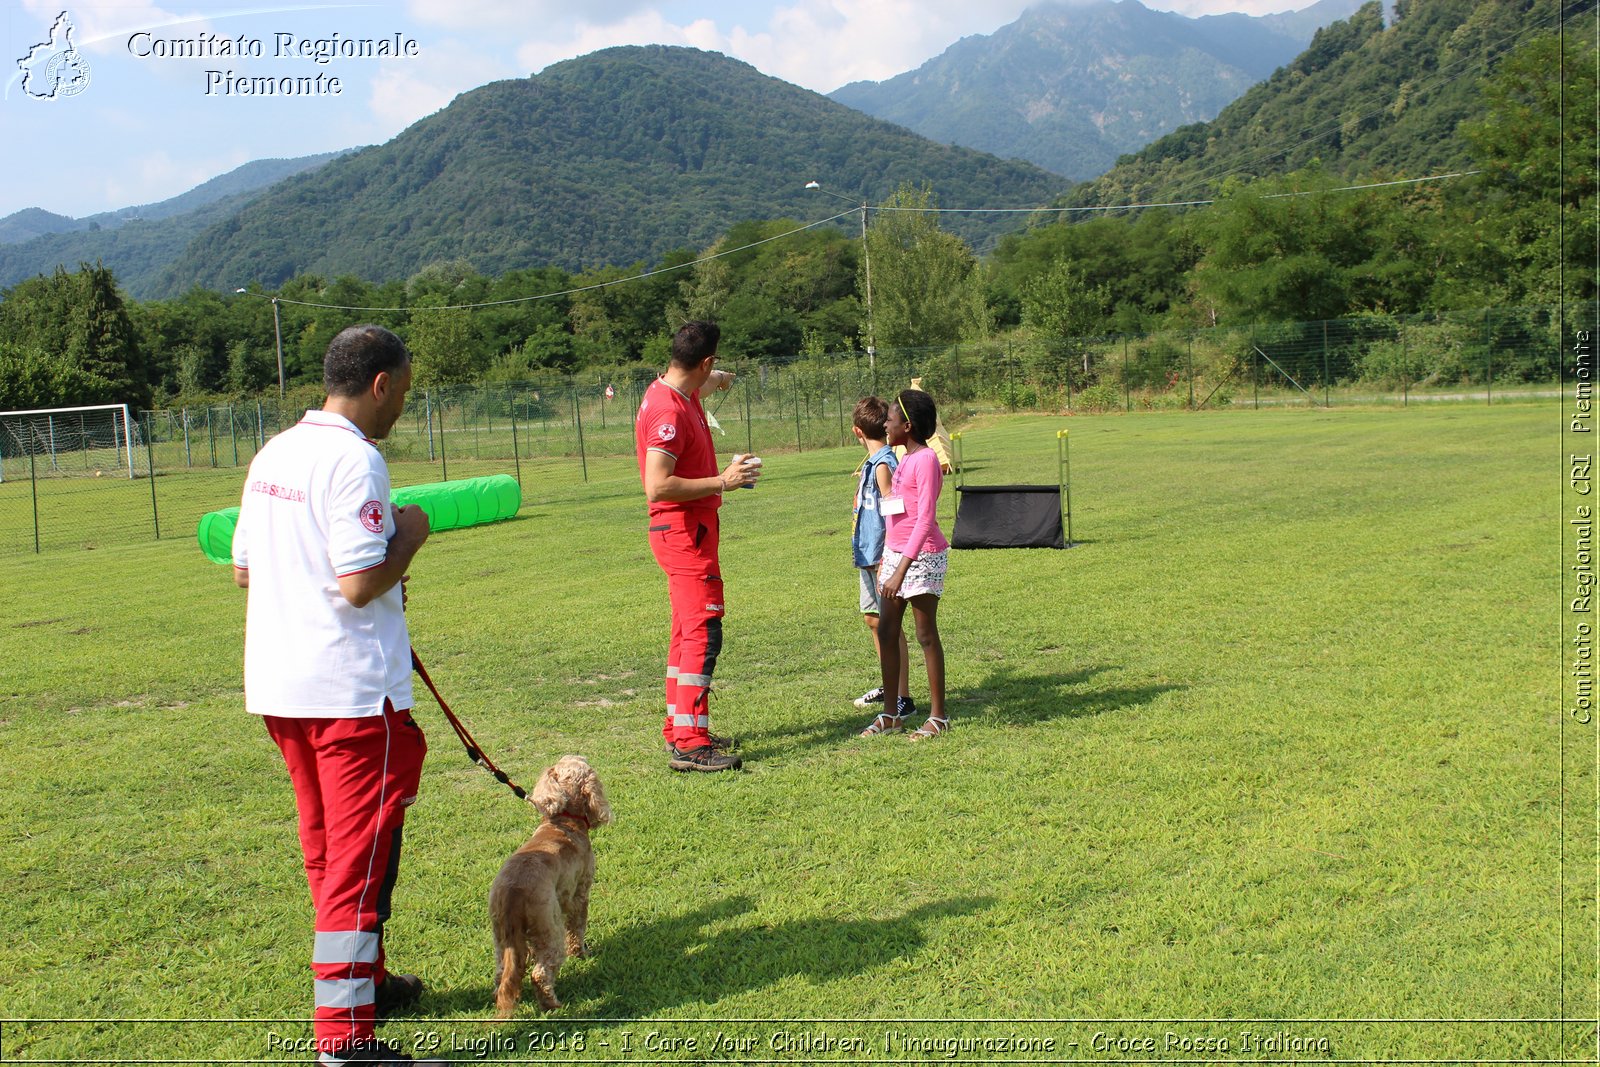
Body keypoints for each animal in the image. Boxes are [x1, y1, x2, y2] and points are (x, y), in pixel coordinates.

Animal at [483, 755, 608, 1017]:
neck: (564, 822)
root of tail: (513, 892)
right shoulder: (580, 894)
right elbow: (578, 928)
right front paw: (582, 952)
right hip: (549, 927)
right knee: (540, 973)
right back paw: (552, 1005)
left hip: (500, 934)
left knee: (502, 973)